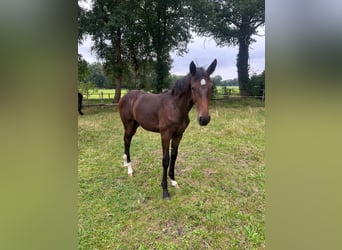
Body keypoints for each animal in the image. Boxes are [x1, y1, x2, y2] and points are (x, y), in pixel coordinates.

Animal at [119, 59, 218, 199]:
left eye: (211, 87)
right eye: (193, 88)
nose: (204, 119)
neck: (176, 107)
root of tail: (125, 95)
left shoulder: (178, 134)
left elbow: (174, 156)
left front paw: (173, 181)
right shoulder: (165, 134)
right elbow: (166, 160)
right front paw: (165, 190)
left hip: (135, 125)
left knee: (127, 140)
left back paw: (125, 163)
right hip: (128, 125)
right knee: (127, 140)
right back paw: (129, 169)